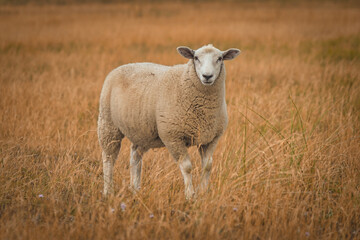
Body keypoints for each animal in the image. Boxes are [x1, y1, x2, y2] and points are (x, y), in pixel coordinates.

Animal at [97, 43, 240, 199]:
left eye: (219, 58)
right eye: (196, 58)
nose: (207, 76)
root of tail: (123, 66)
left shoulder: (211, 138)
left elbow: (208, 166)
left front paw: (203, 193)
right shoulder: (173, 137)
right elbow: (187, 167)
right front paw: (190, 195)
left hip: (143, 132)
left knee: (135, 157)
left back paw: (135, 190)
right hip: (108, 123)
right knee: (108, 158)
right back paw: (108, 191)